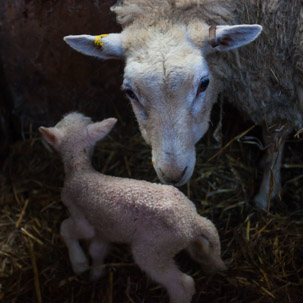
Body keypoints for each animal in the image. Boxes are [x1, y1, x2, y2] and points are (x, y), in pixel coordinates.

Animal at [39, 112, 227, 303]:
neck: (79, 169)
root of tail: (193, 219)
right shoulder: (105, 230)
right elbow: (97, 251)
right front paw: (96, 273)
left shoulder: (80, 215)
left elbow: (67, 229)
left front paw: (79, 264)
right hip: (184, 239)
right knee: (202, 249)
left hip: (153, 250)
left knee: (183, 285)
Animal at [64, 0, 303, 210]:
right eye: (130, 92)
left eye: (204, 83)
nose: (173, 174)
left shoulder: (278, 92)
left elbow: (274, 135)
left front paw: (267, 195)